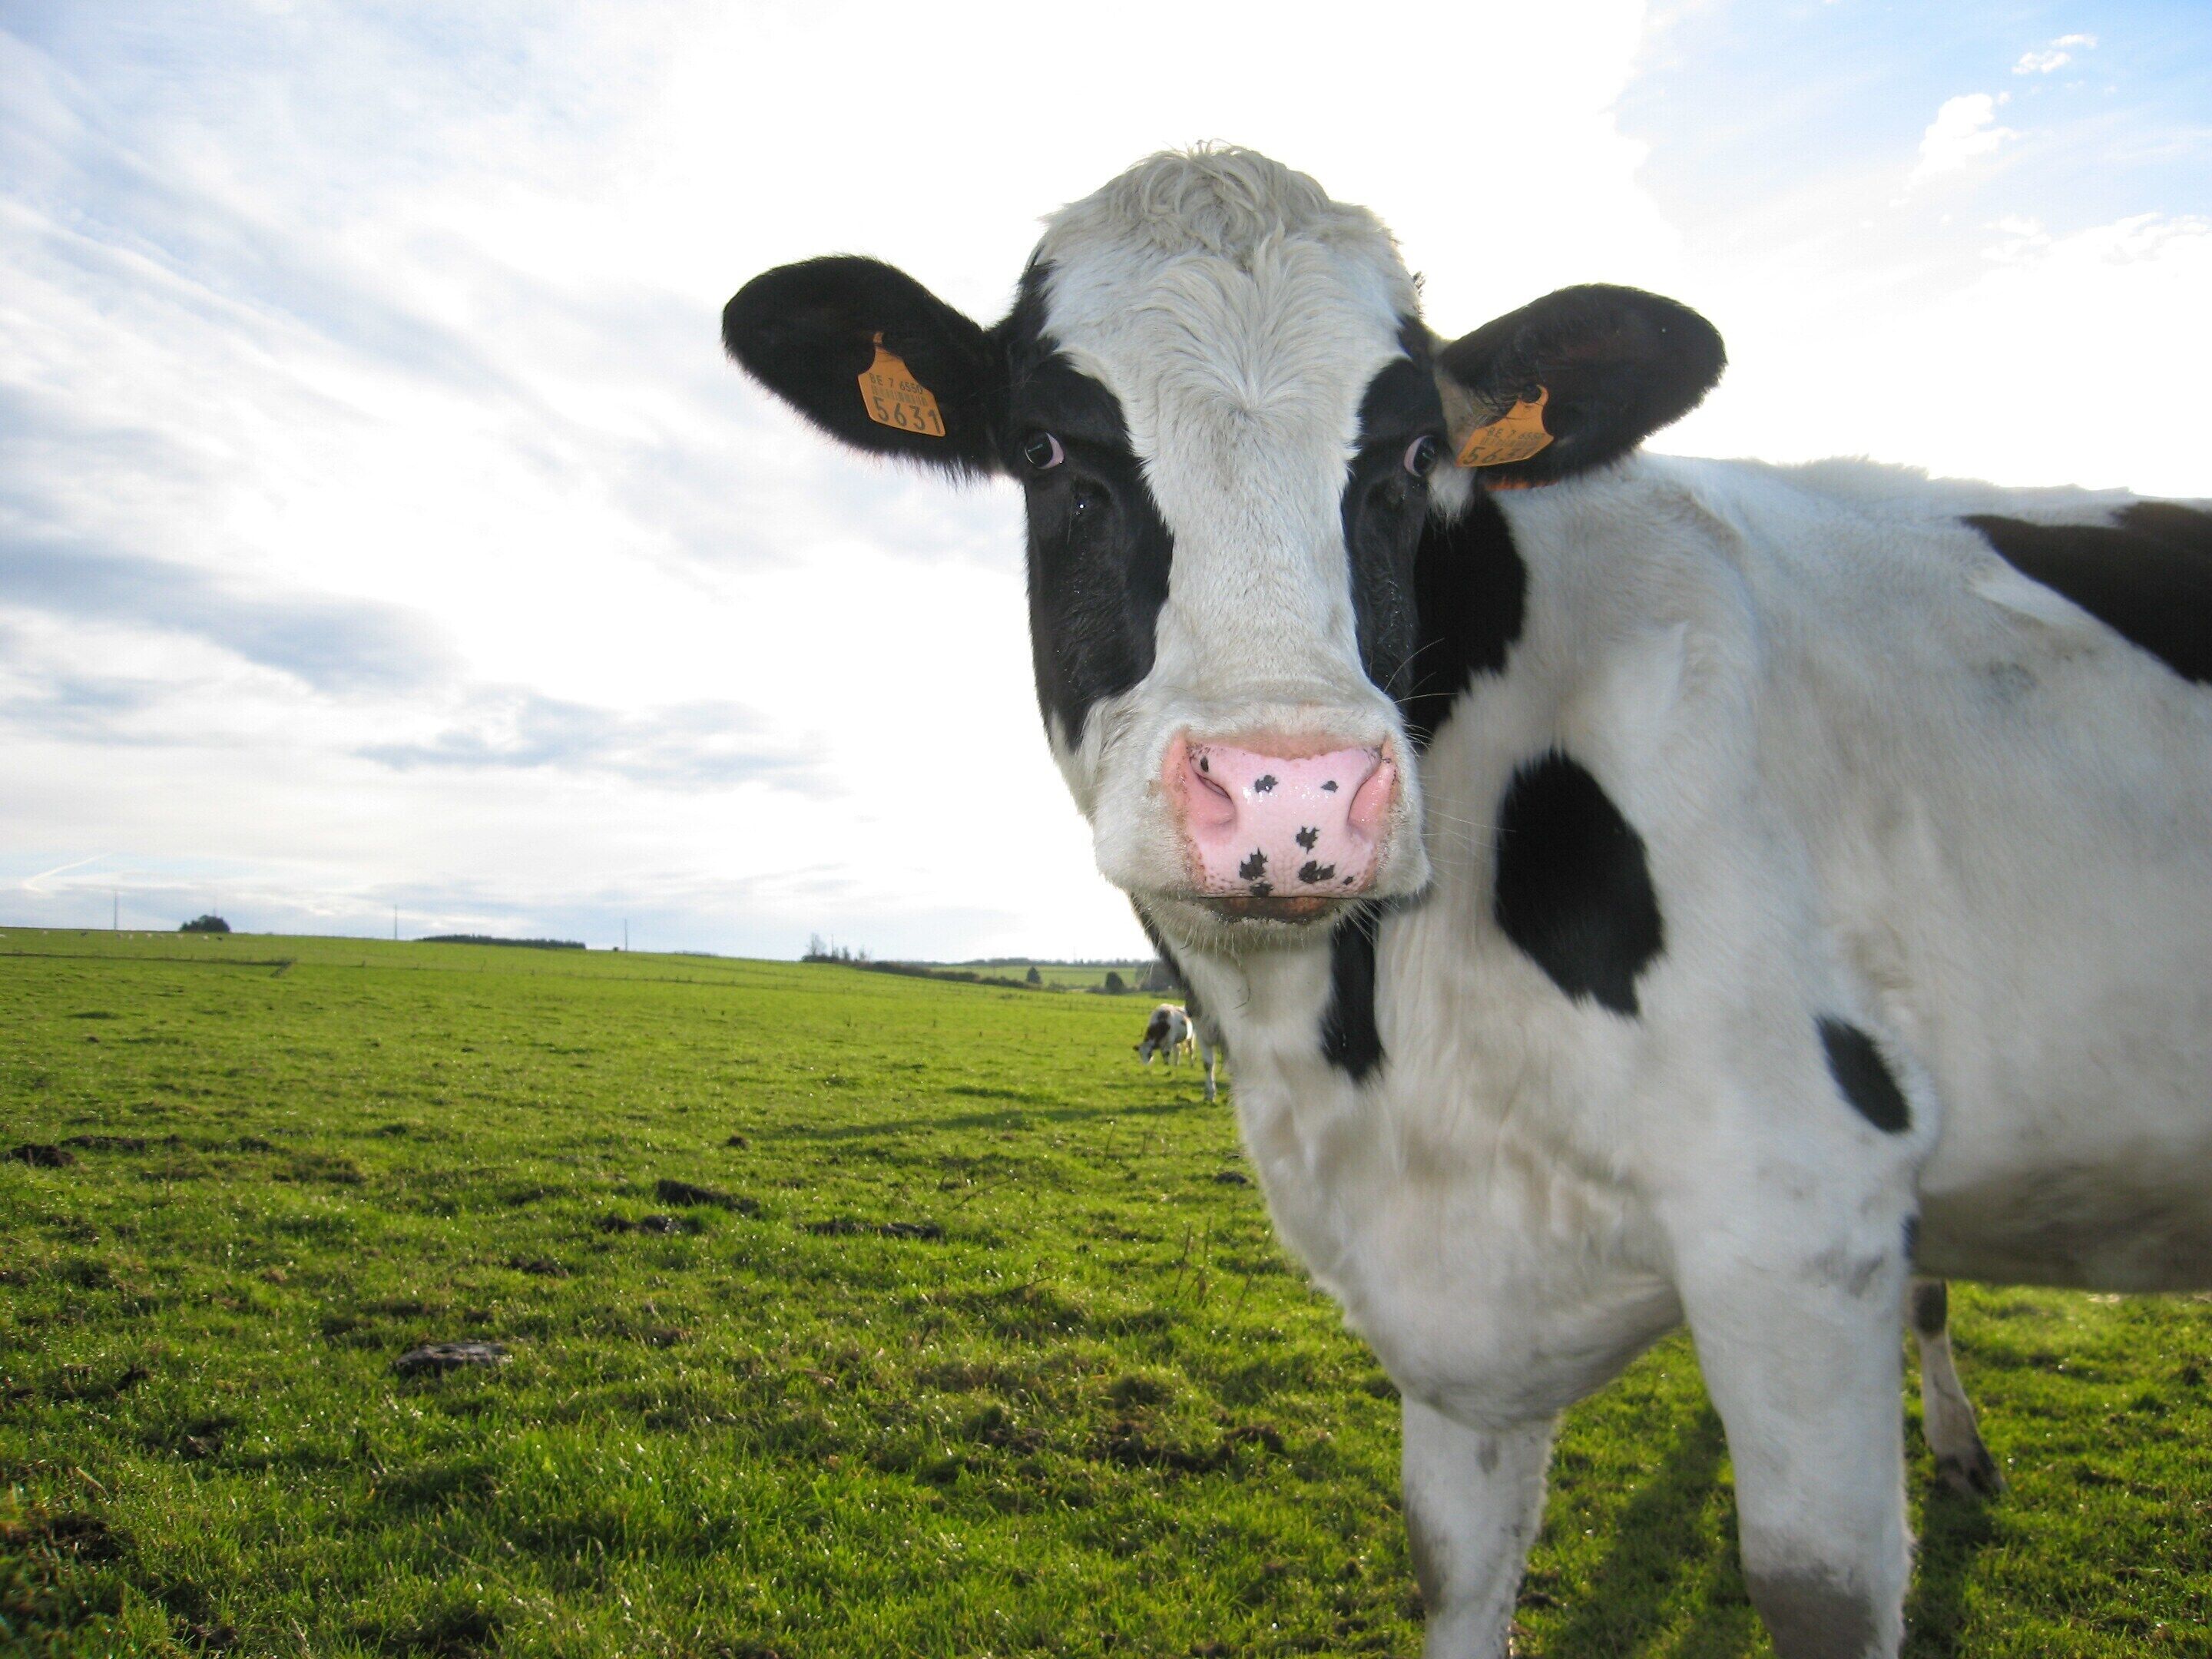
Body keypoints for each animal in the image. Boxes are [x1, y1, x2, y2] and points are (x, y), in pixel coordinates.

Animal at [723, 146, 2212, 1659]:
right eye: (1046, 454)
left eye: (1409, 459)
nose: (1291, 790)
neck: (1383, 1070)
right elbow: (1454, 1564)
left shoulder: (1800, 1212)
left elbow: (1817, 1586)